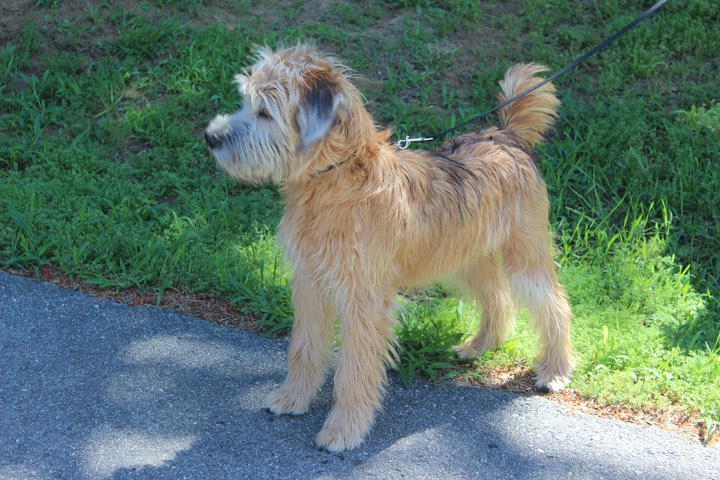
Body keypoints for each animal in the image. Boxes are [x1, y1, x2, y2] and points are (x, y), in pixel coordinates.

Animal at [205, 44, 576, 450]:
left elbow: (354, 366)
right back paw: (480, 345)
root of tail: (505, 136)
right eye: (246, 101)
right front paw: (293, 398)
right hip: (466, 258)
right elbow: (304, 346)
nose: (210, 137)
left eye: (264, 112)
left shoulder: (363, 298)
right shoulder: (309, 283)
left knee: (555, 305)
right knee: (497, 297)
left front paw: (344, 428)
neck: (336, 179)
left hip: (525, 256)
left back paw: (555, 370)